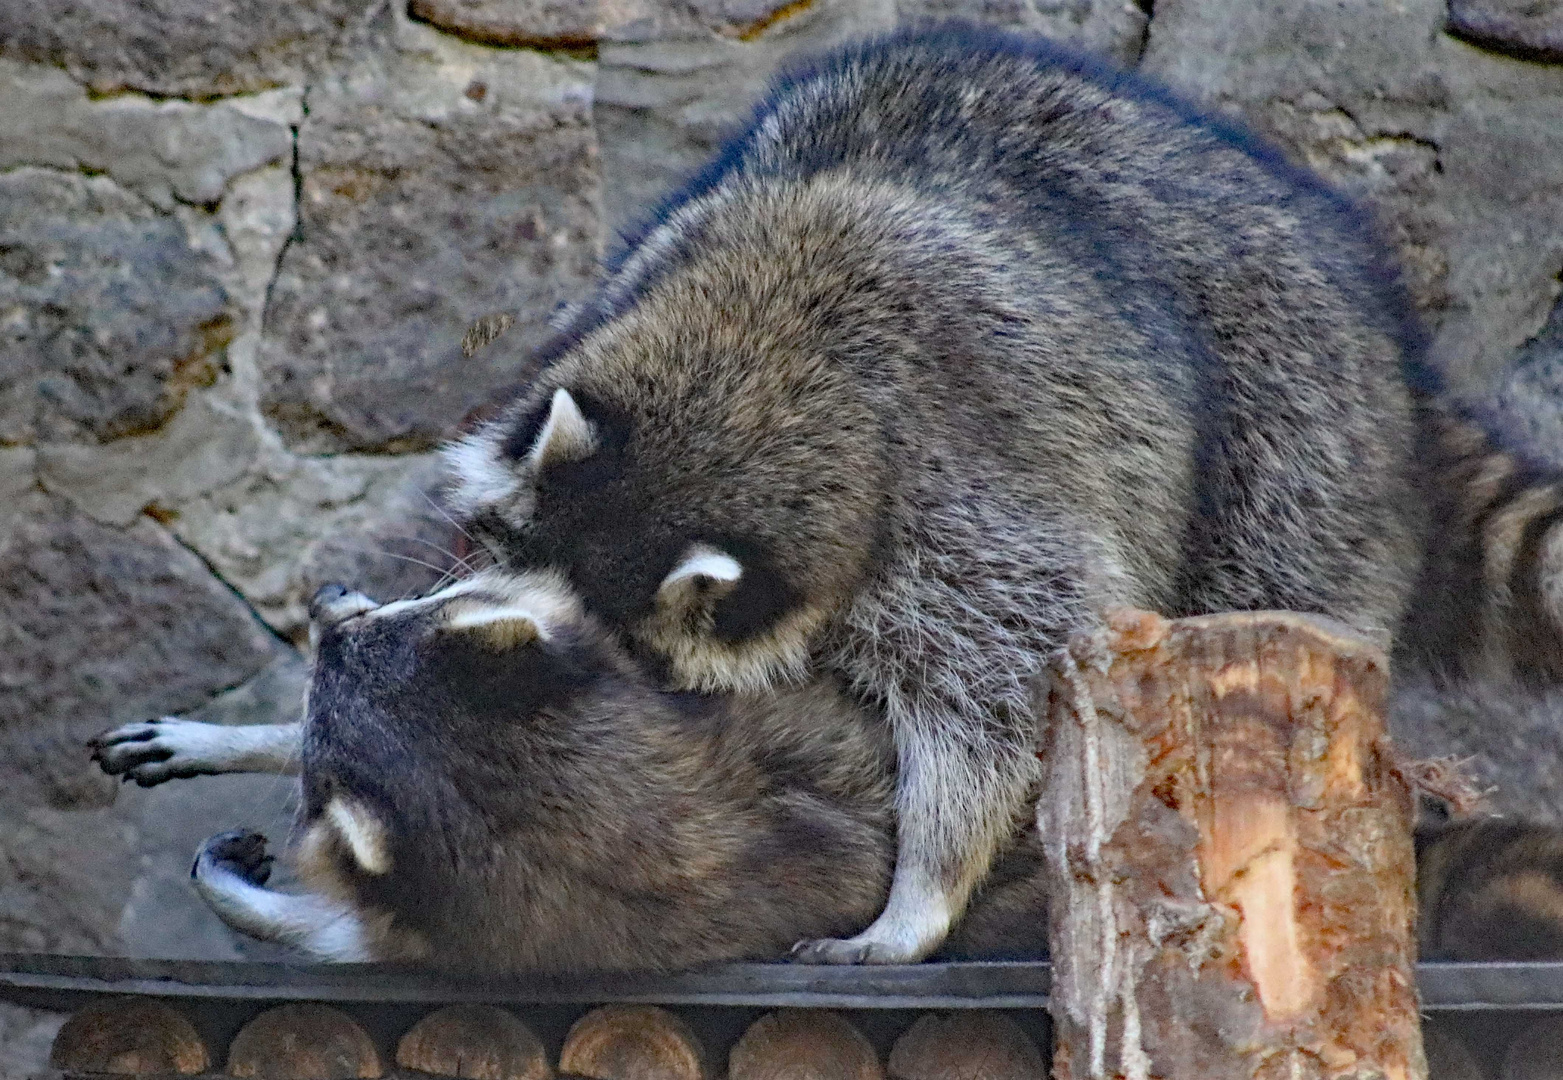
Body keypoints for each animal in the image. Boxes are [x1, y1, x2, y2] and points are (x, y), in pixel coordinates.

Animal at [440, 23, 1431, 962]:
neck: (767, 354)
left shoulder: (961, 503)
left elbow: (998, 697)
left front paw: (924, 887)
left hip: (1296, 419)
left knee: (1269, 566)